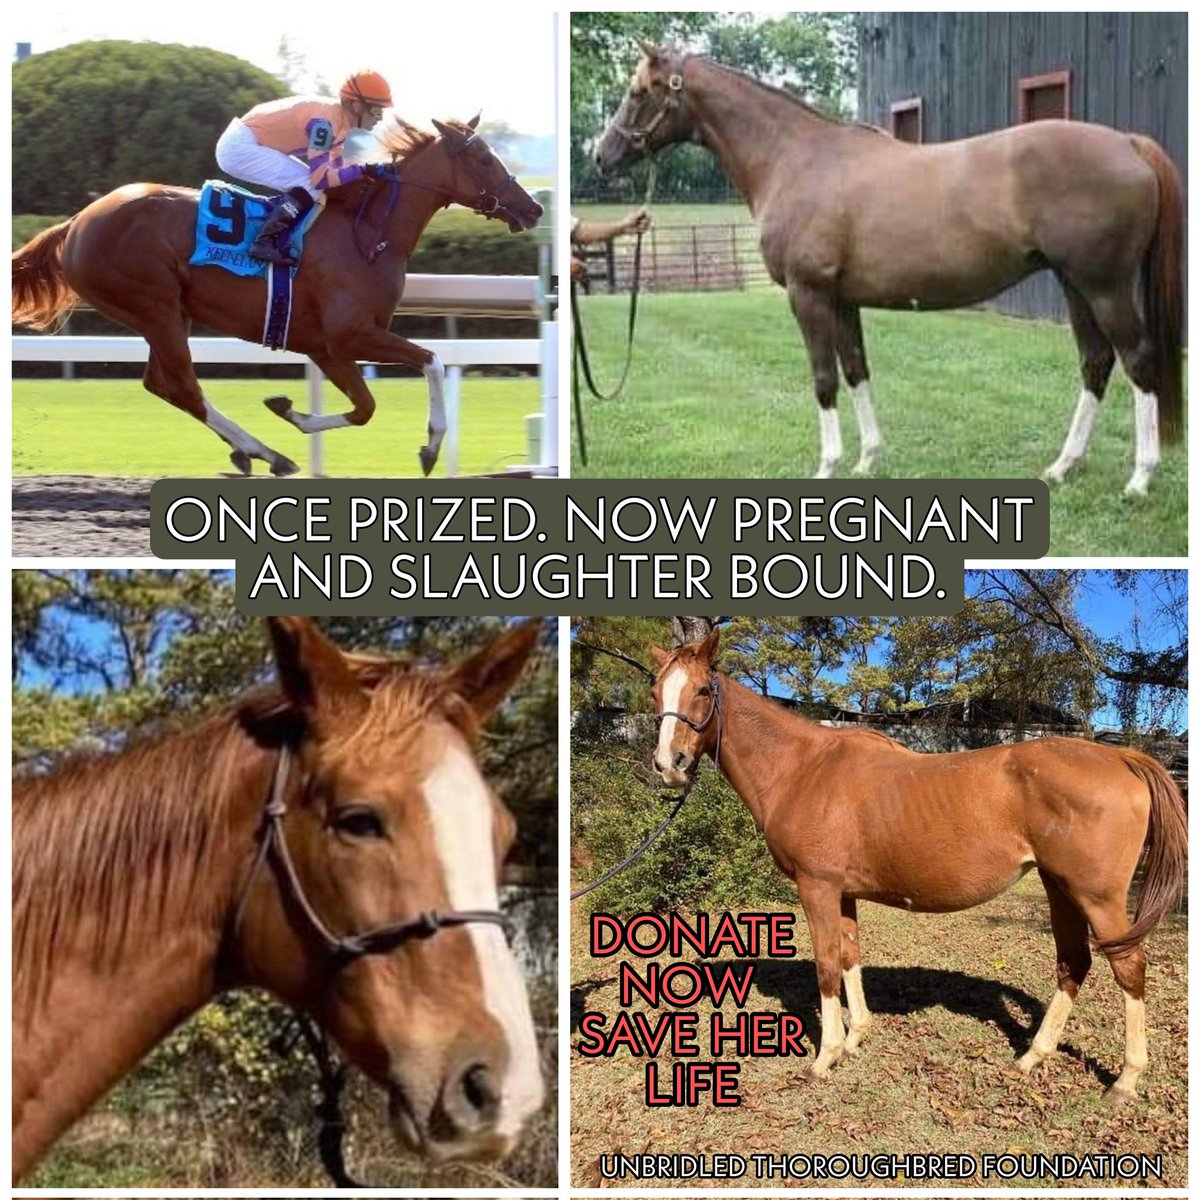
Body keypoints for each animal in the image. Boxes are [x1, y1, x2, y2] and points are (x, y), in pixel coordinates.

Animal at [12, 113, 543, 478]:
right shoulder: (349, 334)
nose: (533, 207)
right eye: (482, 158)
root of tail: (75, 224)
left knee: (161, 384)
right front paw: (431, 446)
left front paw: (289, 410)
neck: (369, 233)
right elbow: (430, 360)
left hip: (164, 314)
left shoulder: (326, 345)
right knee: (182, 385)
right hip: (155, 307)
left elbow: (365, 408)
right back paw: (265, 452)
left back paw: (255, 450)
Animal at [596, 45, 1184, 496]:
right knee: (1096, 363)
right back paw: (1063, 466)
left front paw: (827, 466)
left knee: (1137, 360)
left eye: (638, 91)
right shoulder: (841, 299)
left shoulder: (808, 294)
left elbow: (824, 378)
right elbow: (856, 369)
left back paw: (1140, 477)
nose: (603, 155)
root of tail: (1129, 143)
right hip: (1074, 284)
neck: (796, 160)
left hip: (1104, 286)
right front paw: (867, 459)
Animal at [649, 628, 1187, 1101]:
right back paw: (1032, 1056)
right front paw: (857, 1036)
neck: (802, 768)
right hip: (1061, 888)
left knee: (1129, 967)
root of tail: (1122, 759)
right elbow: (850, 956)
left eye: (702, 690)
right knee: (1073, 963)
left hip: (1097, 897)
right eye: (656, 691)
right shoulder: (843, 892)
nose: (668, 765)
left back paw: (1125, 1080)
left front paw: (826, 1055)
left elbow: (826, 964)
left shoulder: (817, 886)